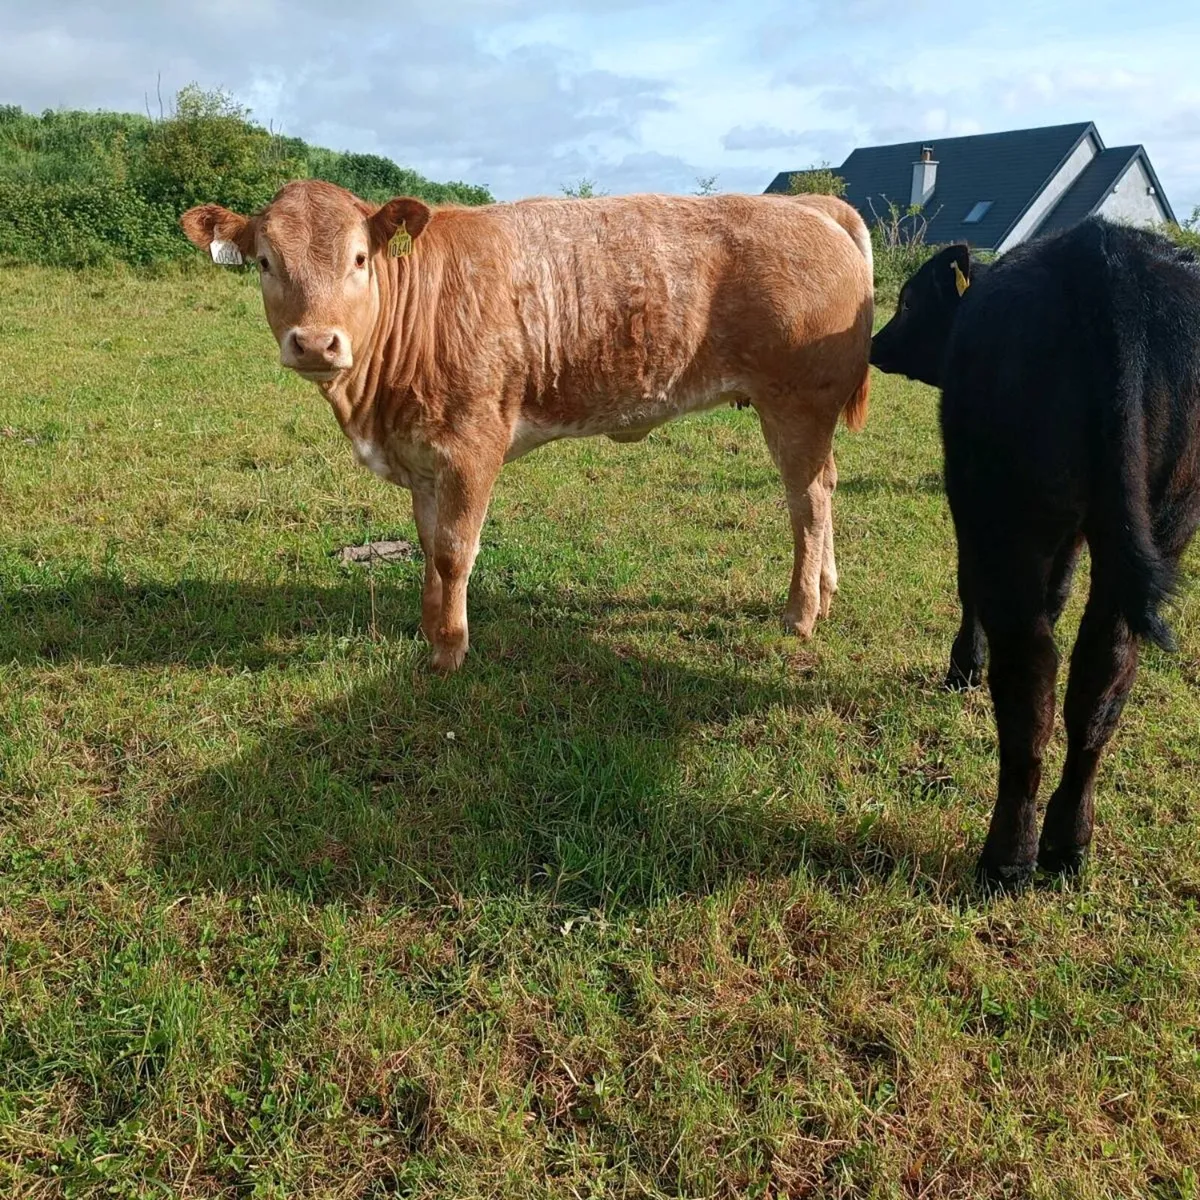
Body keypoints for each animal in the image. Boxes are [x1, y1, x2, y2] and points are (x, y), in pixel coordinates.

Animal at [180, 181, 874, 673]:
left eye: (358, 259)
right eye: (265, 262)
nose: (316, 343)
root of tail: (806, 206)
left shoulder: (471, 444)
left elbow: (455, 549)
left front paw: (450, 649)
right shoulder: (421, 459)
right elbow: (428, 548)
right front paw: (429, 627)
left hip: (795, 405)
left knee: (808, 502)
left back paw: (800, 612)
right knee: (828, 486)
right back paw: (828, 590)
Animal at [871, 217, 1200, 890]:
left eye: (909, 302)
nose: (874, 344)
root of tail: (1103, 253)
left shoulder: (970, 502)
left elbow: (969, 585)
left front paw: (963, 668)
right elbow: (1060, 592)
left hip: (1008, 516)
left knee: (1031, 677)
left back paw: (1007, 857)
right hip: (1164, 519)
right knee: (1102, 679)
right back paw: (1068, 845)